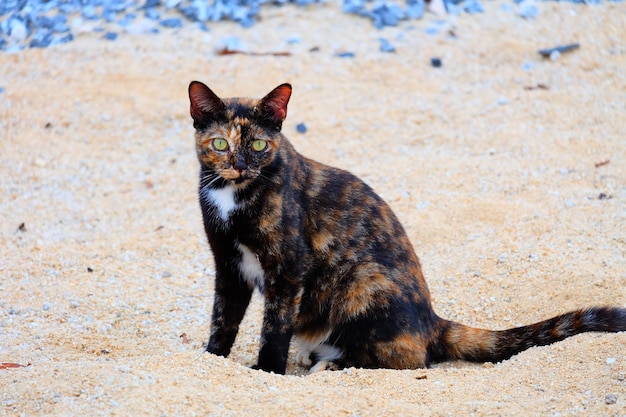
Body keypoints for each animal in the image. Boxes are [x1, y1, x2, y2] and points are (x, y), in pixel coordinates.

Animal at [186, 81, 624, 374]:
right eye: (221, 144)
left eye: (259, 145)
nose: (239, 165)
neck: (232, 195)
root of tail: (433, 320)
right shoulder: (228, 265)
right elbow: (222, 317)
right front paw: (212, 361)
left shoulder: (289, 267)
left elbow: (275, 326)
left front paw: (267, 372)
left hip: (364, 281)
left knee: (408, 359)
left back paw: (333, 364)